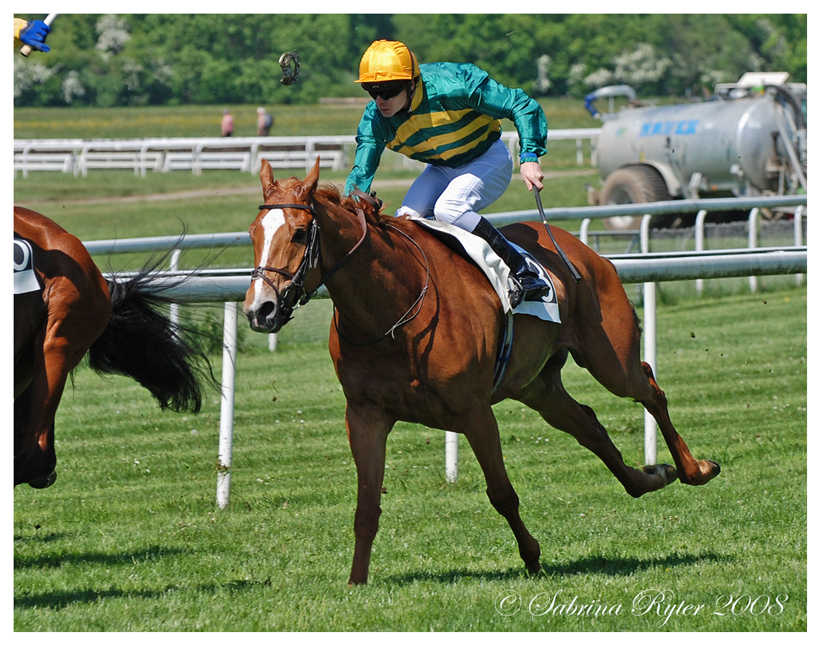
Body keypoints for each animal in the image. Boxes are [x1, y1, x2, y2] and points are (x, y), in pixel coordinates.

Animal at [242, 160, 716, 584]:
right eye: (253, 234)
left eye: (299, 232)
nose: (259, 309)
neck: (394, 310)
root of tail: (581, 249)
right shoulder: (365, 415)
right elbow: (366, 507)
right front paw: (357, 582)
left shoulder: (473, 411)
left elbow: (502, 493)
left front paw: (532, 557)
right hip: (538, 387)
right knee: (589, 424)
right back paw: (649, 477)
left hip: (610, 362)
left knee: (649, 387)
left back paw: (695, 469)